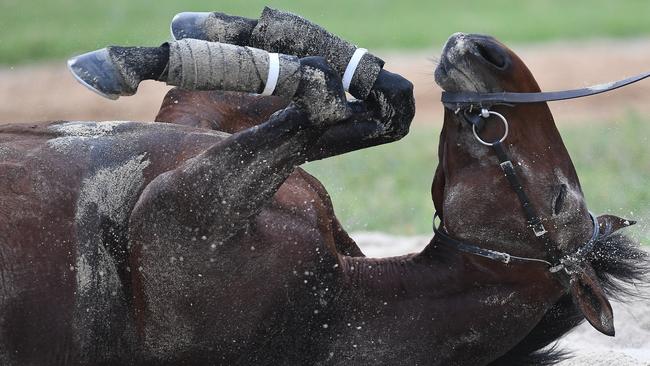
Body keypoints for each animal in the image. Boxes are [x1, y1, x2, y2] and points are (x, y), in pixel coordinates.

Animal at [1, 8, 644, 366]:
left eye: (560, 198)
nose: (491, 51)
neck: (340, 301)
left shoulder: (174, 222)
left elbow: (328, 97)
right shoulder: (195, 121)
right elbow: (390, 106)